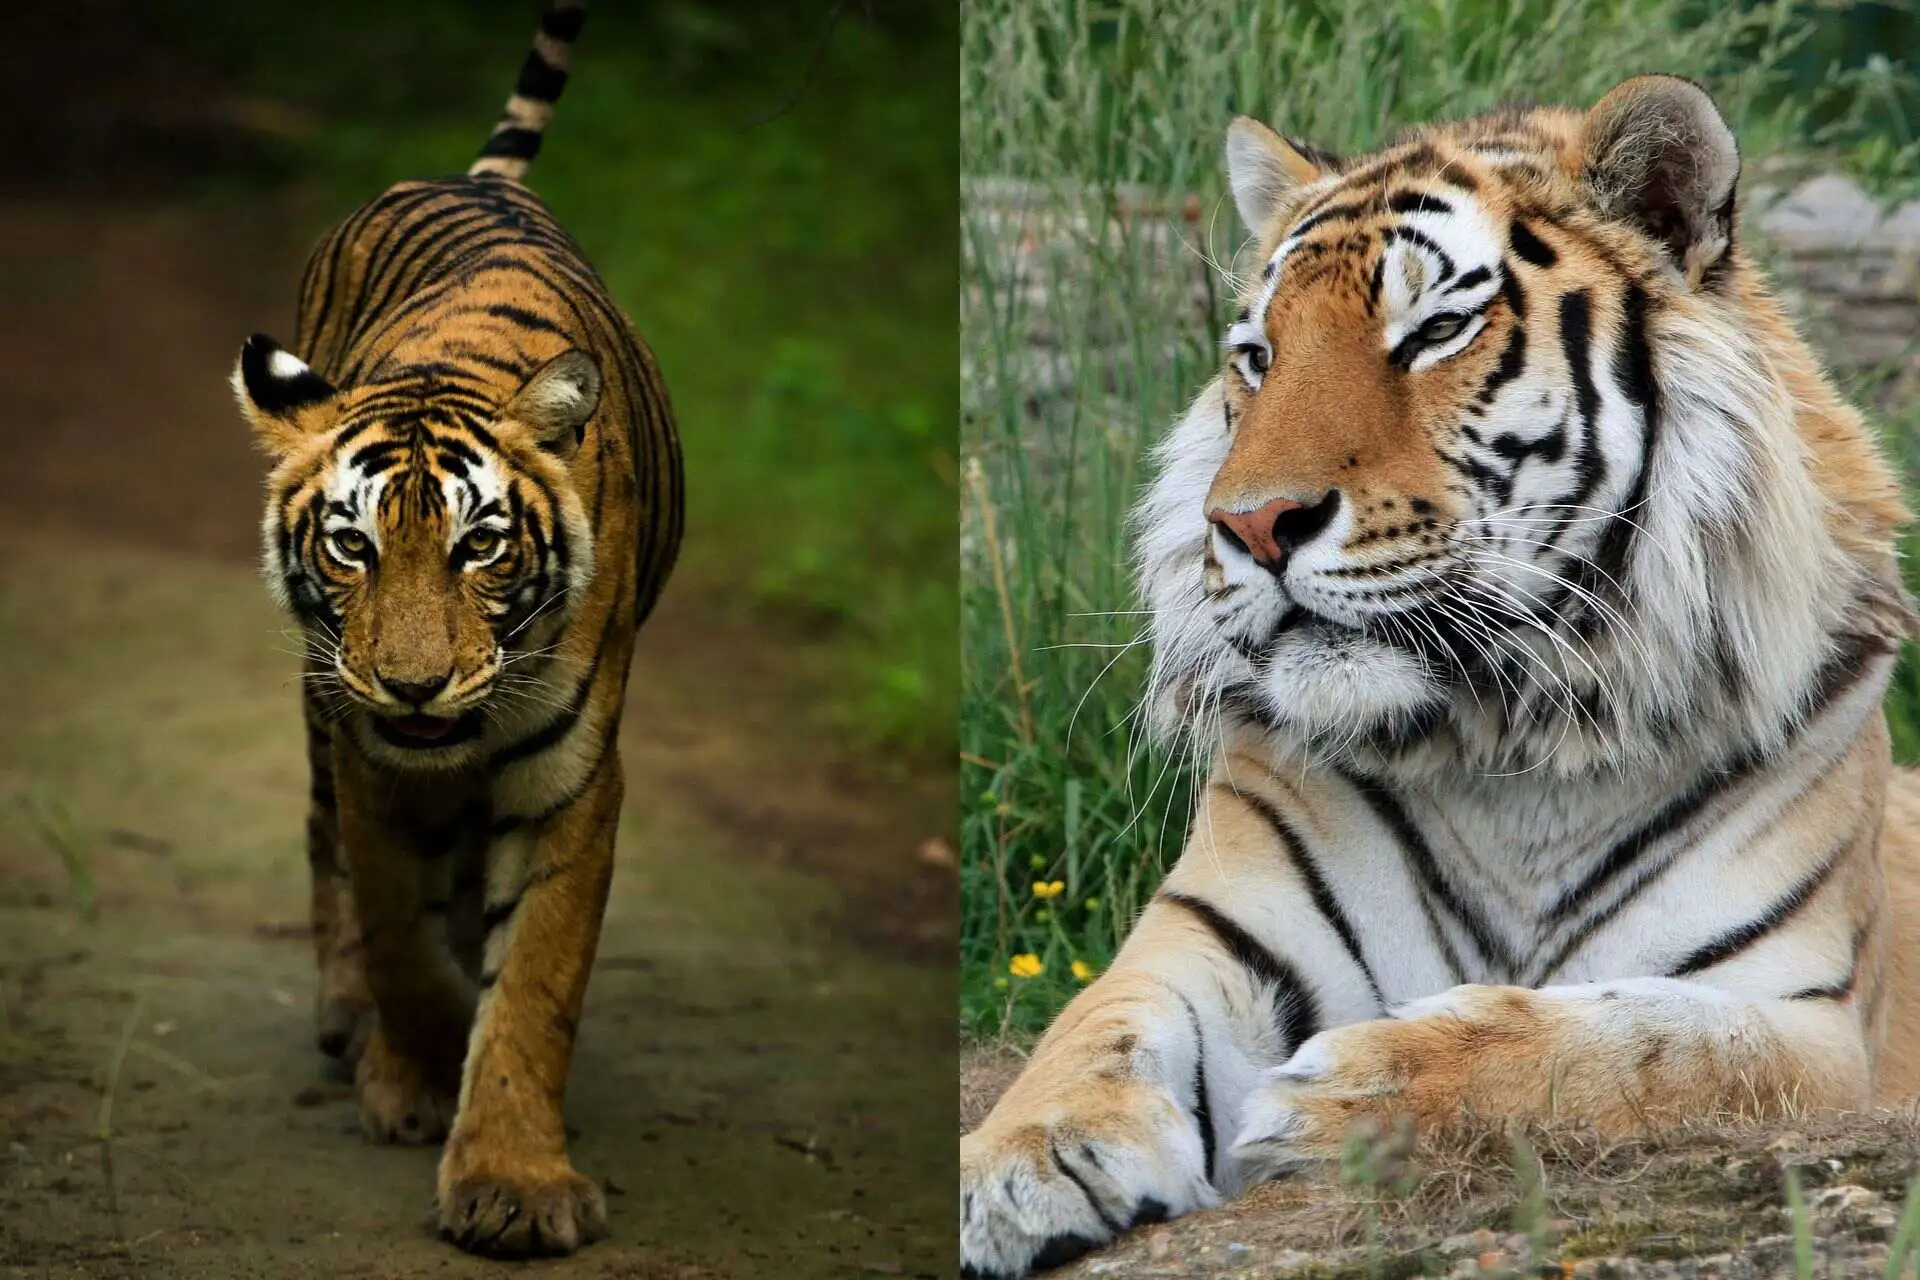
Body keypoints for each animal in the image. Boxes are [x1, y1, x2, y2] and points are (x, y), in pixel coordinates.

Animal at [229, 0, 681, 1257]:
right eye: (352, 545)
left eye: (482, 546)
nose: (416, 685)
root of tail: (469, 176)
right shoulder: (370, 753)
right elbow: (396, 923)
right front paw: (415, 1067)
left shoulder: (574, 776)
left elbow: (533, 983)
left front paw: (513, 1183)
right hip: (319, 702)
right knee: (327, 848)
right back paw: (349, 1020)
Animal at [960, 74, 1920, 1277]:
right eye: (1258, 356)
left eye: (1433, 332)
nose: (1250, 524)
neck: (1517, 735)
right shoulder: (1213, 932)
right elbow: (1095, 1025)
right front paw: (1010, 1165)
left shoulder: (1802, 1016)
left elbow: (1628, 1044)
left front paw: (1346, 1095)